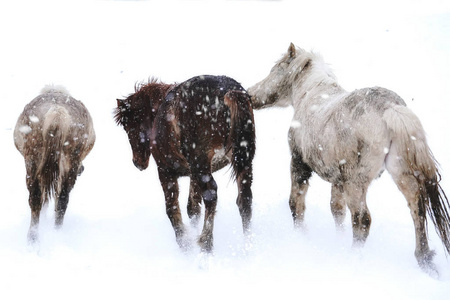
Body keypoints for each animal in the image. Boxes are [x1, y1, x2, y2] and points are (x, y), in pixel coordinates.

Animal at [14, 85, 95, 244]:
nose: (82, 169)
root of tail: (57, 113)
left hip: (35, 161)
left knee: (41, 198)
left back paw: (35, 238)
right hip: (63, 164)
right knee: (59, 199)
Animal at [114, 75, 255, 253]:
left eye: (128, 125)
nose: (137, 162)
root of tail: (228, 94)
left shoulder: (165, 171)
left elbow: (172, 208)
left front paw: (184, 243)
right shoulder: (194, 173)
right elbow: (192, 208)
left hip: (201, 163)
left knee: (211, 195)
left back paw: (206, 244)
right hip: (242, 162)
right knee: (245, 199)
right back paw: (247, 245)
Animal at [248, 42, 450, 274]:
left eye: (275, 70)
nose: (250, 95)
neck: (312, 96)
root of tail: (391, 108)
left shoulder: (299, 164)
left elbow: (296, 204)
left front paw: (301, 237)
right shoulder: (338, 179)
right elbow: (337, 210)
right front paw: (338, 238)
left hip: (357, 182)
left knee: (362, 219)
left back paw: (353, 258)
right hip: (401, 174)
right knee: (417, 208)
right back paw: (424, 260)